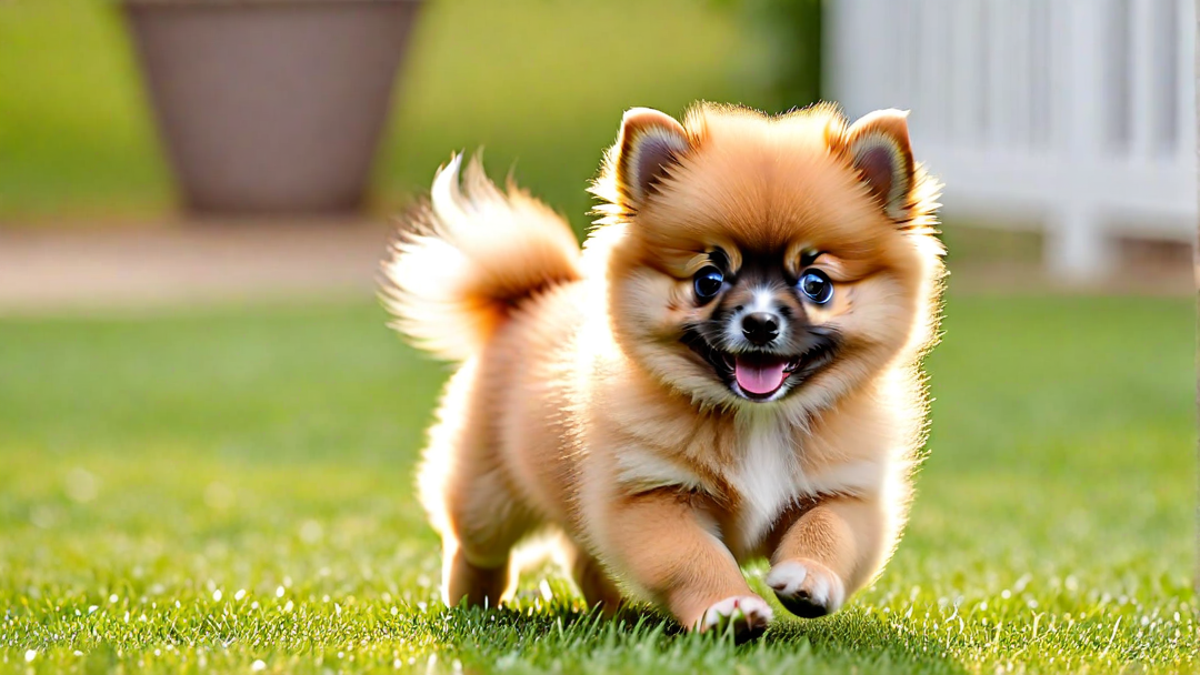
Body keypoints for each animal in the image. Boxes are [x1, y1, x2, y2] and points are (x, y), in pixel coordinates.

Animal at [379, 99, 940, 634]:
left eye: (816, 284)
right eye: (708, 279)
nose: (759, 322)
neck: (755, 419)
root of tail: (529, 297)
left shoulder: (846, 491)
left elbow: (830, 533)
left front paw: (808, 579)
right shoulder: (650, 493)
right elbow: (692, 557)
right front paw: (727, 608)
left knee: (584, 554)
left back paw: (611, 609)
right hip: (488, 495)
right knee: (476, 547)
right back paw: (474, 604)